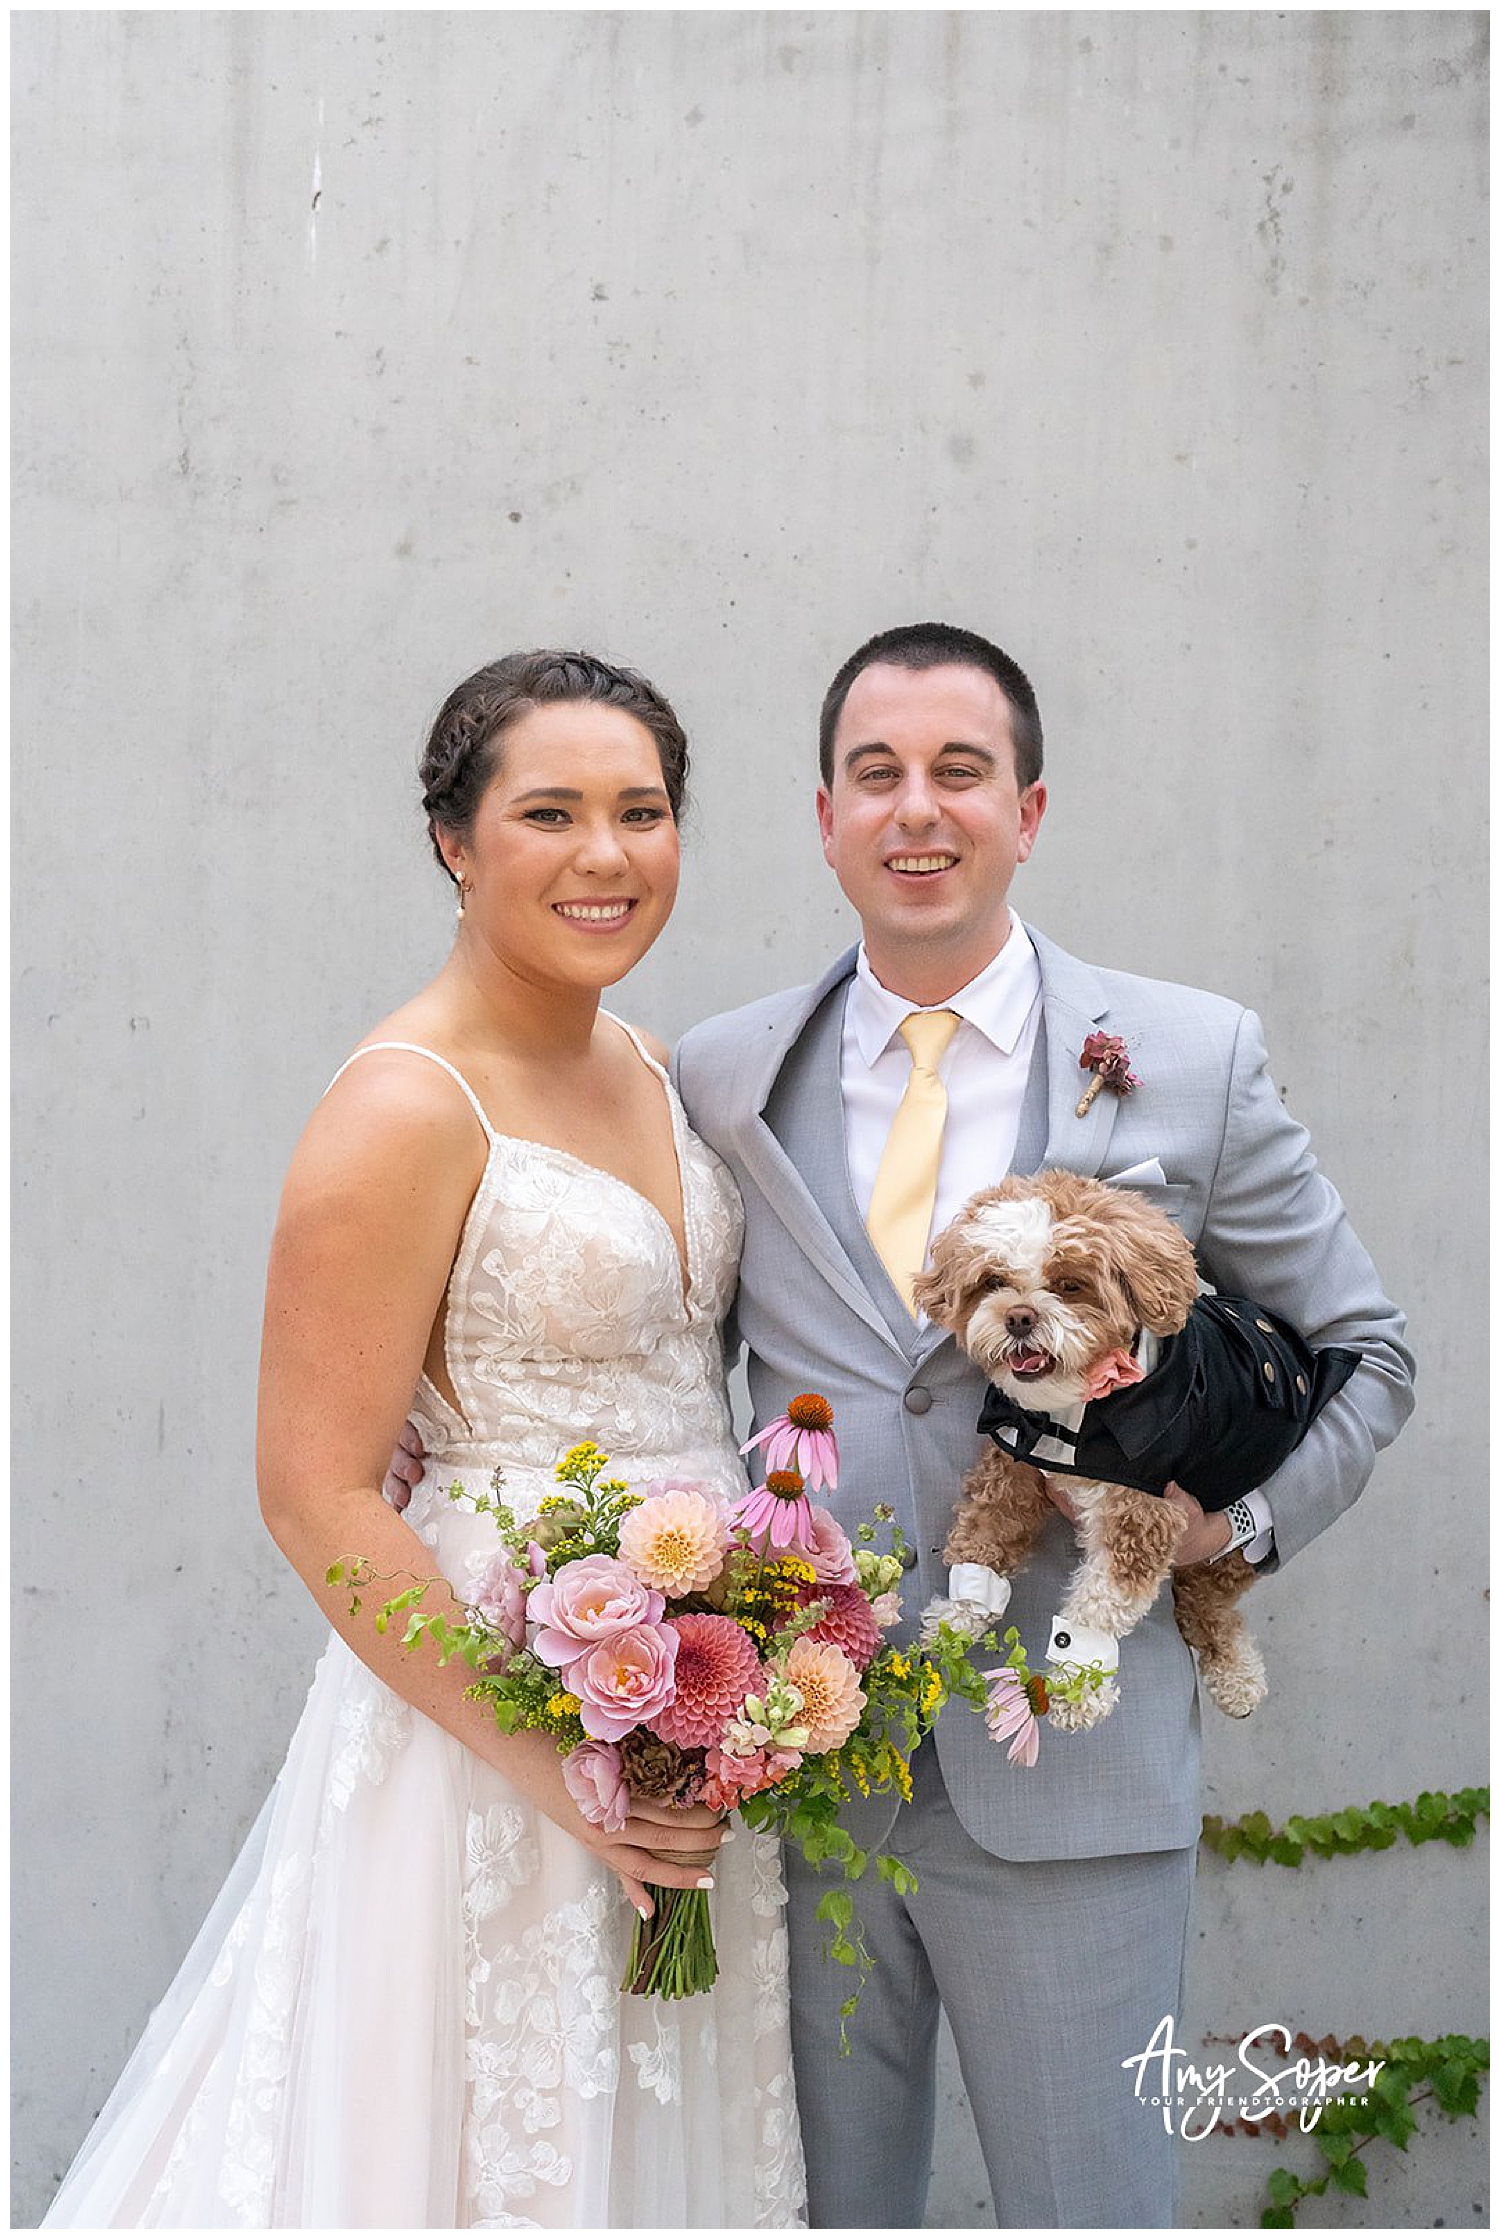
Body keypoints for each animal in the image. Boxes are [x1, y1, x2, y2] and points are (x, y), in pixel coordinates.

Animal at [908, 1173, 1271, 1728]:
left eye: (1069, 1285)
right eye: (993, 1281)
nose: (1019, 1317)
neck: (1072, 1413)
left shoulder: (1143, 1515)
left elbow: (1101, 1603)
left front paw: (1076, 1689)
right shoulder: (1014, 1464)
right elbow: (984, 1535)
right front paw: (956, 1620)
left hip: (1228, 1537)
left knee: (1206, 1601)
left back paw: (1238, 1679)